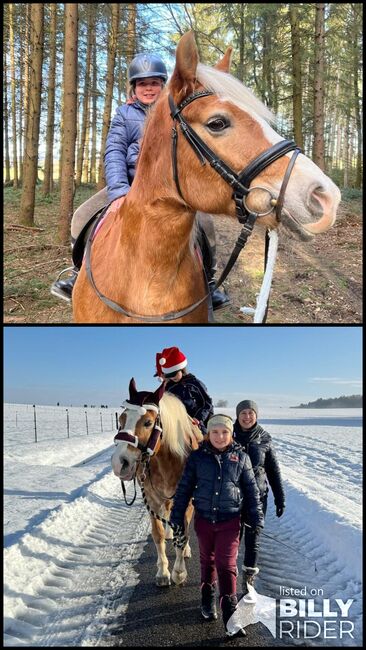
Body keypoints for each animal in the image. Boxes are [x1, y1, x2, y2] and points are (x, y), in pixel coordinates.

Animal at [111, 378, 203, 584]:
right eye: (121, 419)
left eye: (148, 422)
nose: (119, 463)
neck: (166, 460)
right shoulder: (151, 499)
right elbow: (157, 534)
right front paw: (163, 572)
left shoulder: (185, 499)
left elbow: (184, 532)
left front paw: (179, 572)